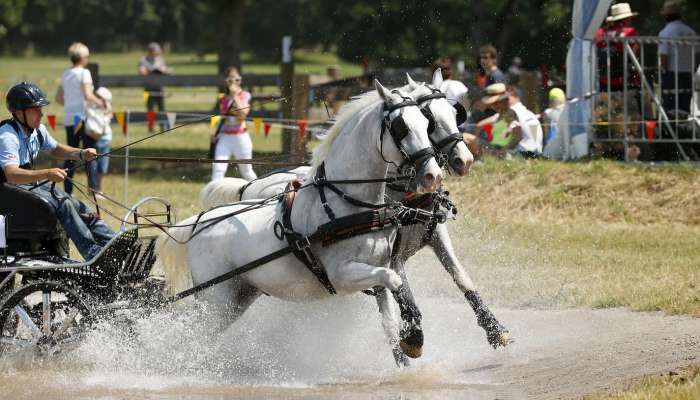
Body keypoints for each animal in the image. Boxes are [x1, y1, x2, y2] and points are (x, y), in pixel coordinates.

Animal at [159, 80, 442, 360]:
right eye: (401, 127)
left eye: (426, 122)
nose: (433, 175)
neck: (346, 203)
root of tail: (199, 222)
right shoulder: (341, 275)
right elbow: (394, 281)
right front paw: (413, 336)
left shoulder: (379, 265)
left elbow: (390, 316)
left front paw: (408, 342)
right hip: (215, 298)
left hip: (236, 297)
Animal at [200, 69, 512, 366]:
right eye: (429, 119)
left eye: (453, 113)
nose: (464, 160)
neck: (399, 195)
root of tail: (249, 187)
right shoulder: (395, 256)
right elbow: (405, 296)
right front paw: (412, 337)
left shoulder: (434, 234)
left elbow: (461, 278)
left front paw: (495, 329)